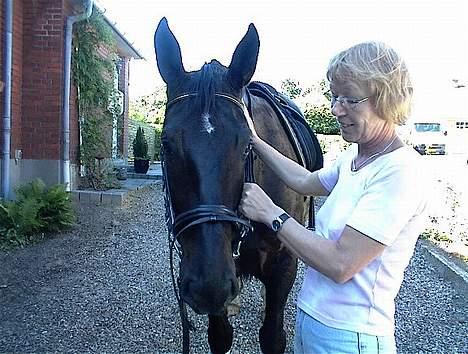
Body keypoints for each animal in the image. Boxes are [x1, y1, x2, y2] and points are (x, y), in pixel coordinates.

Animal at [155, 18, 324, 352]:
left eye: (248, 145)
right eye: (166, 145)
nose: (207, 286)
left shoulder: (282, 264)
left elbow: (272, 337)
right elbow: (219, 336)